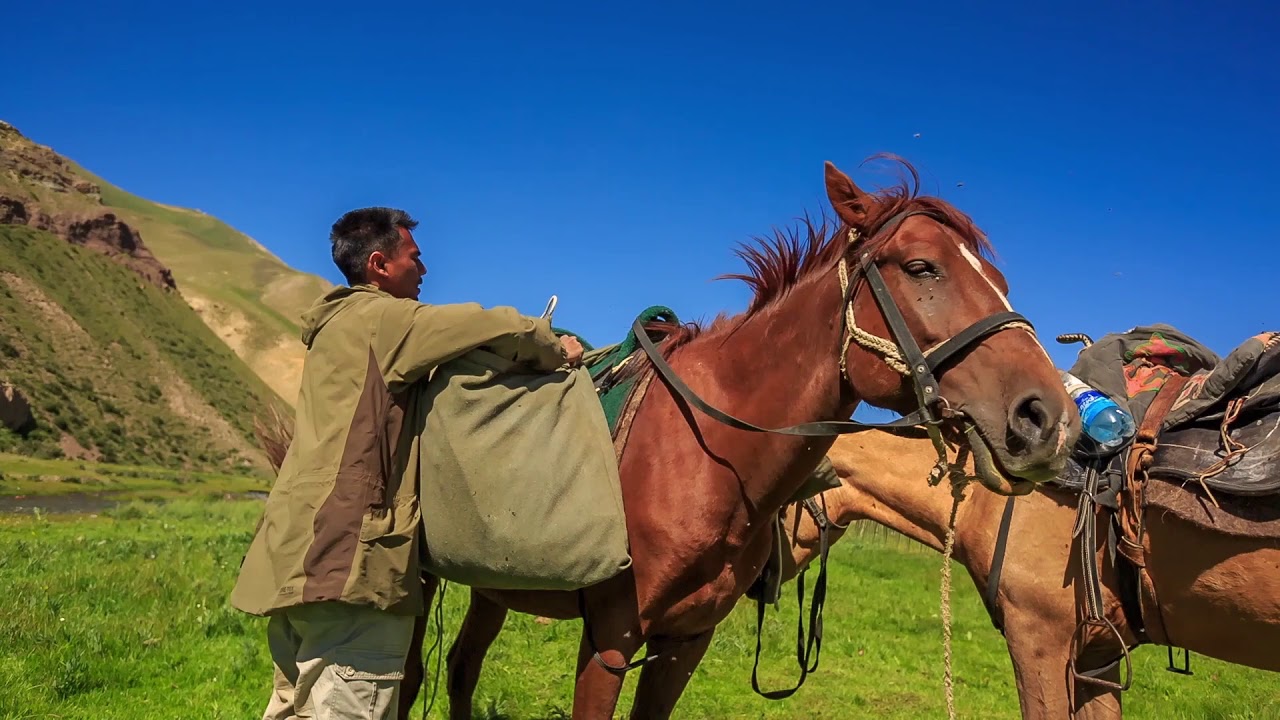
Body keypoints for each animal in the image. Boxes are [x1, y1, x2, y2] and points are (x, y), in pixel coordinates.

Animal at [386, 158, 1080, 717]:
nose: (1048, 419)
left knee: (461, 668)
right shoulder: (611, 638)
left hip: (494, 584)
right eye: (920, 267)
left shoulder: (683, 644)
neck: (705, 457)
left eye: (1000, 283)